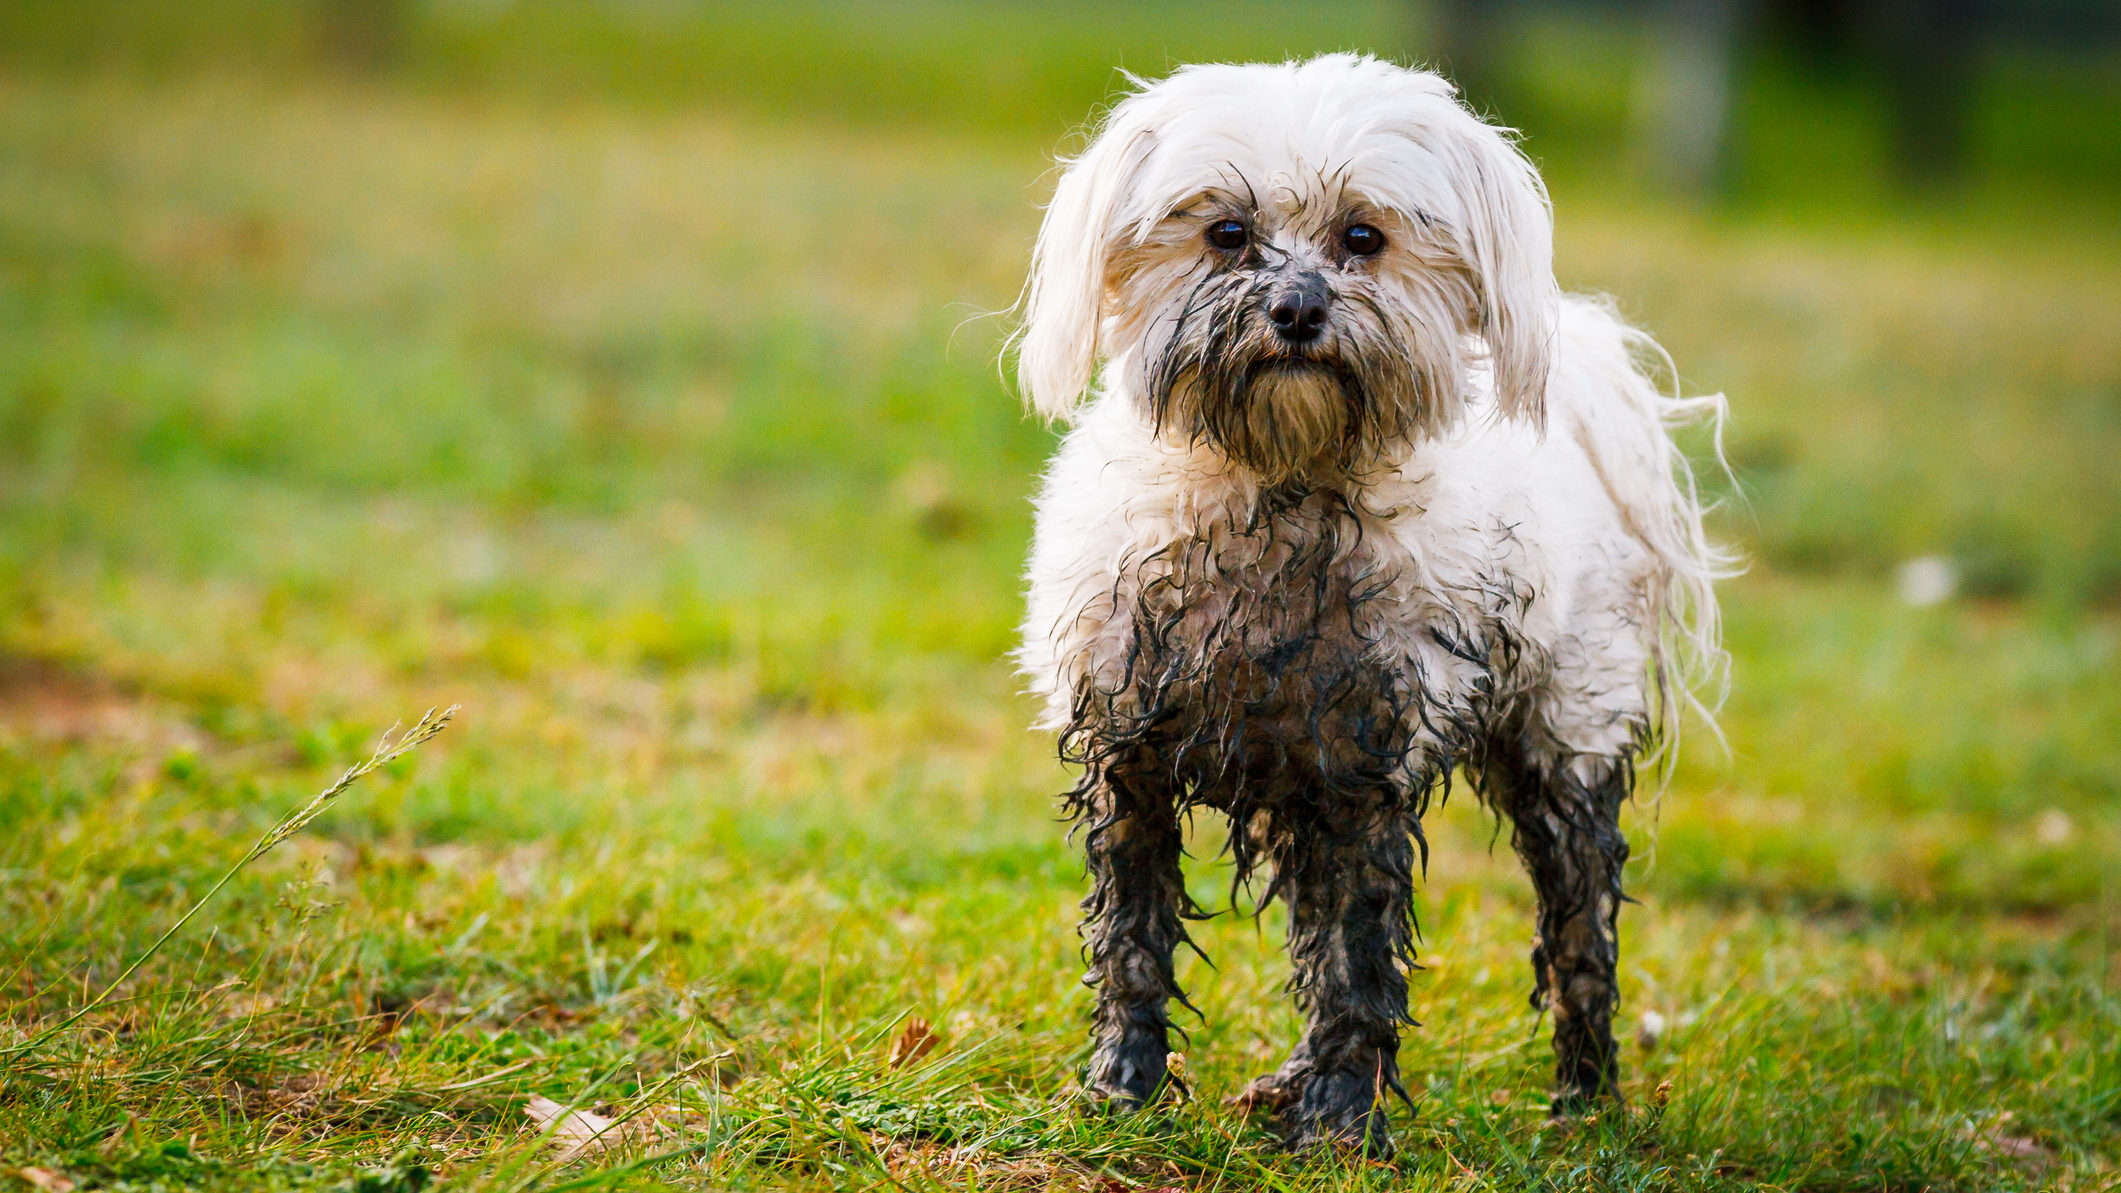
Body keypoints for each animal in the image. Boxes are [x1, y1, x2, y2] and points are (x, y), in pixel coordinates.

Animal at [1005, 55, 1722, 1154]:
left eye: (1361, 237)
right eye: (1226, 233)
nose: (1297, 308)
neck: (1277, 486)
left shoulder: (1359, 772)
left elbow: (1353, 960)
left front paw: (1343, 1121)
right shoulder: (1130, 752)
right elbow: (1131, 938)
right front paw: (1120, 1091)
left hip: (1563, 745)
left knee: (1578, 934)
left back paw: (1584, 1095)